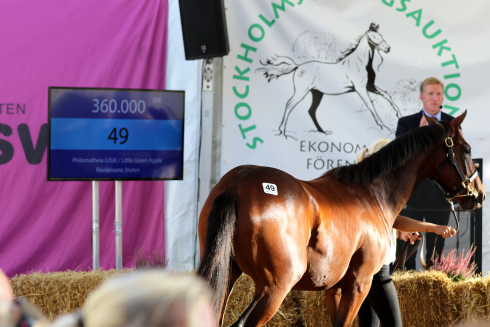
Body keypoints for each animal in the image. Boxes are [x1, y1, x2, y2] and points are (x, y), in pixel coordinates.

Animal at [197, 111, 484, 327]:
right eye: (467, 150)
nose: (479, 194)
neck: (372, 193)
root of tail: (238, 183)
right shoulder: (360, 284)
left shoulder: (333, 288)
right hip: (275, 287)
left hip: (226, 275)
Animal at [256, 23, 402, 140]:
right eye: (374, 37)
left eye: (381, 35)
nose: (388, 48)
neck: (359, 63)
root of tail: (298, 66)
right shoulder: (361, 89)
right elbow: (370, 105)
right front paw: (383, 126)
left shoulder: (370, 86)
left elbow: (387, 96)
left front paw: (399, 115)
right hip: (302, 91)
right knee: (289, 104)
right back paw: (283, 132)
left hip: (317, 93)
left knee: (311, 111)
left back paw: (323, 132)